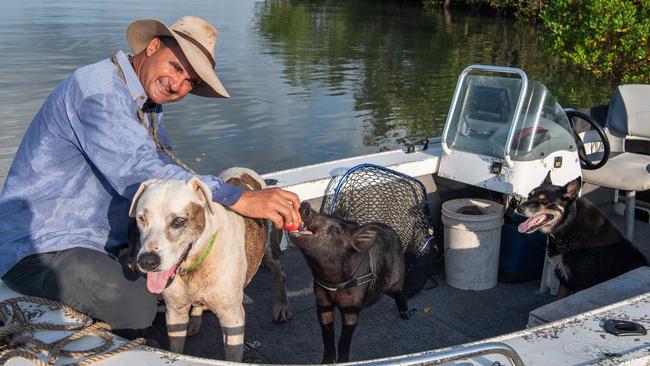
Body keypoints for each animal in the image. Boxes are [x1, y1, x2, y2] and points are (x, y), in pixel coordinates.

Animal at [129, 168, 292, 360]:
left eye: (179, 221)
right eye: (141, 218)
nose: (147, 261)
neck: (196, 263)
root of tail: (244, 169)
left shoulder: (232, 318)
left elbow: (233, 355)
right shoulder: (175, 313)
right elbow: (176, 348)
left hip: (271, 250)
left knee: (279, 273)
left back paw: (282, 306)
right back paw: (194, 321)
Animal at [288, 202, 404, 364]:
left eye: (337, 230)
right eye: (324, 214)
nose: (306, 205)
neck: (334, 283)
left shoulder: (352, 308)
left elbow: (344, 340)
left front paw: (343, 361)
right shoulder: (321, 299)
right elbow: (327, 334)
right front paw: (326, 362)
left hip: (397, 277)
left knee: (400, 291)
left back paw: (405, 314)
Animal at [512, 174, 644, 298]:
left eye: (544, 201)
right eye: (530, 195)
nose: (518, 208)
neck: (568, 224)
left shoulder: (580, 281)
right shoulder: (564, 278)